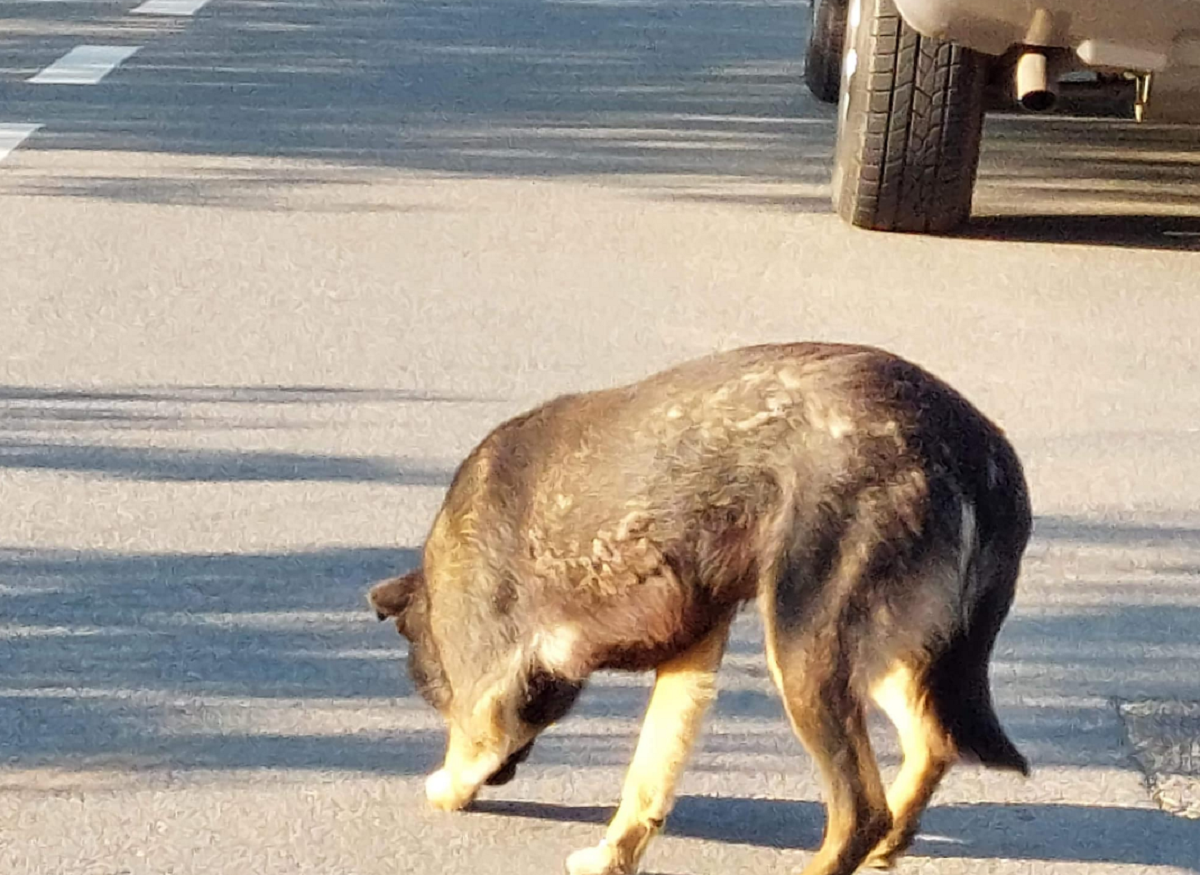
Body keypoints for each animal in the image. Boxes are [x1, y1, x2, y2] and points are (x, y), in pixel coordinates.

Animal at [367, 340, 1032, 873]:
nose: (508, 773)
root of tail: (976, 447)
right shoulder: (692, 655)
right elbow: (648, 778)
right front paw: (612, 857)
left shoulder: (488, 695)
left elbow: (466, 754)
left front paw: (448, 787)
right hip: (889, 649)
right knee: (931, 744)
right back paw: (891, 844)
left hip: (804, 649)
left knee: (859, 810)